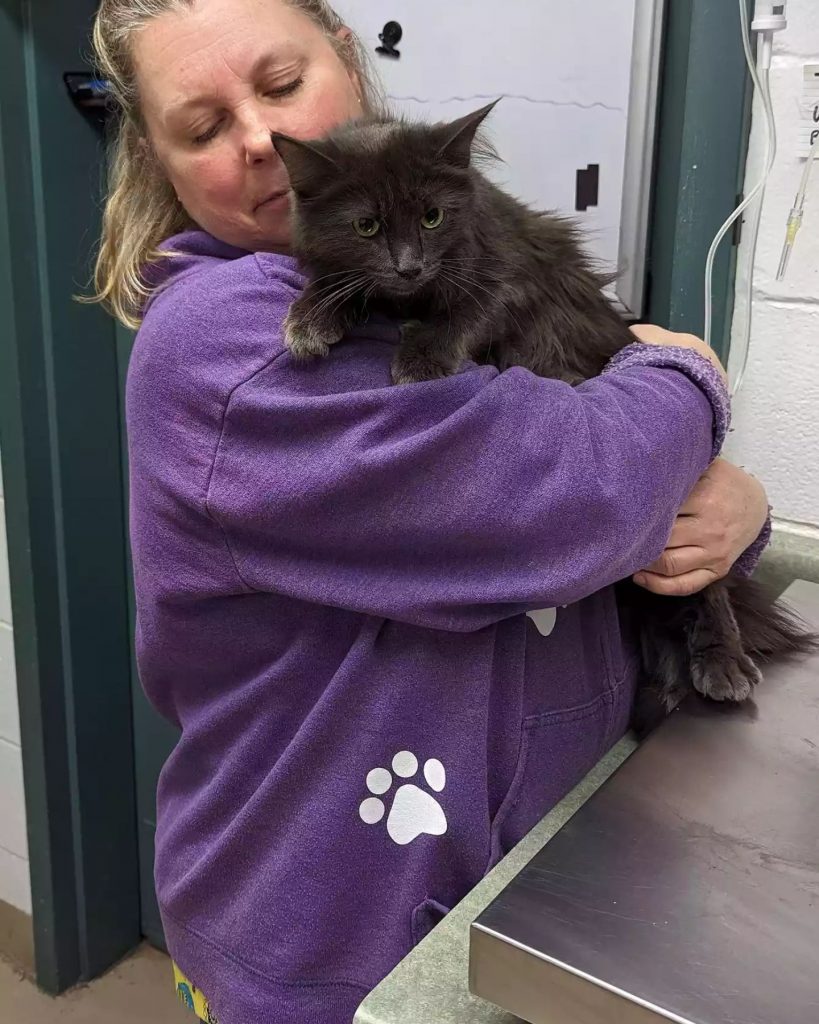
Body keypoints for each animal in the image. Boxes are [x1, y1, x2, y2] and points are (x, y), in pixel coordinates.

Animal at [272, 103, 814, 729]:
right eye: (367, 227)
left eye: (433, 218)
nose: (409, 266)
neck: (407, 298)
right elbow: (339, 283)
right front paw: (310, 315)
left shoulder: (510, 278)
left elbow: (465, 312)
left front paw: (421, 356)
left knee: (710, 587)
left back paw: (721, 662)